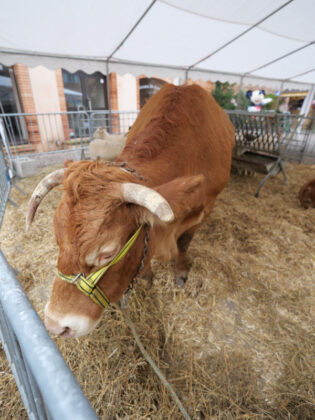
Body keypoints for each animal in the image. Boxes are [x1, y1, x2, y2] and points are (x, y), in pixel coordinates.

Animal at [26, 83, 235, 336]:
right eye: (57, 240)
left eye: (107, 253)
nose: (56, 326)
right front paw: (146, 277)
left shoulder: (204, 210)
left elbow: (184, 244)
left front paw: (180, 271)